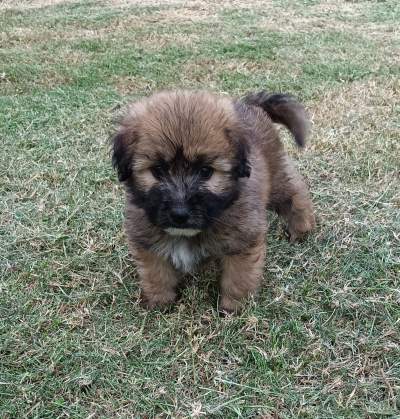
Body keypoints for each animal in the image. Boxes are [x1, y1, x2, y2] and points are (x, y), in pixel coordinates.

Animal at [111, 90, 316, 314]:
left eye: (206, 171)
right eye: (157, 170)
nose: (179, 214)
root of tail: (249, 105)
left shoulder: (242, 241)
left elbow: (238, 278)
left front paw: (233, 308)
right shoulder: (147, 241)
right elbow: (156, 275)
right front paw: (160, 303)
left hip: (276, 179)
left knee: (295, 194)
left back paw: (302, 227)